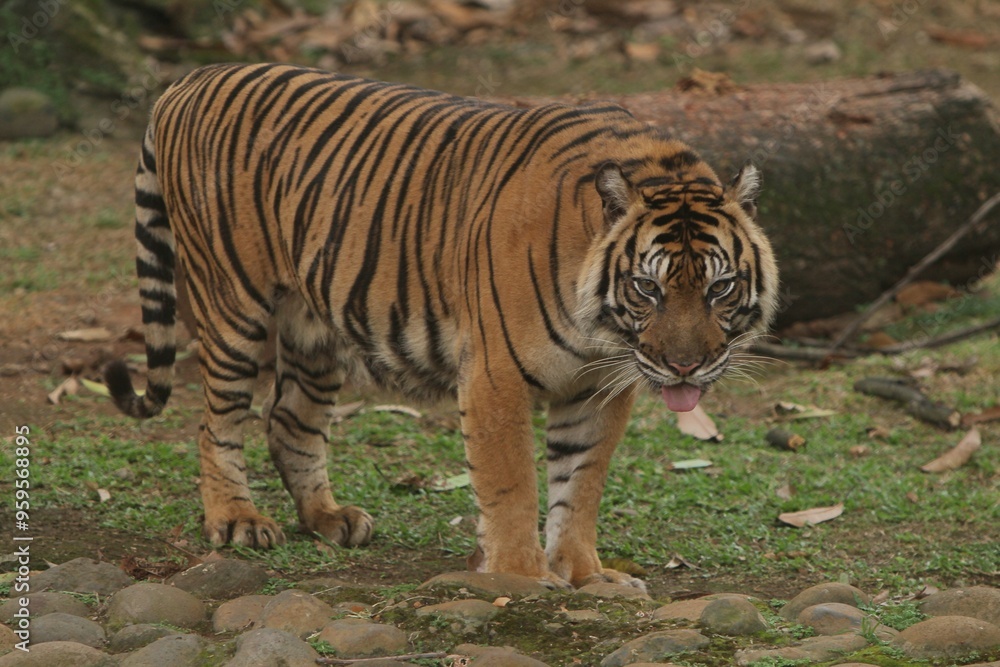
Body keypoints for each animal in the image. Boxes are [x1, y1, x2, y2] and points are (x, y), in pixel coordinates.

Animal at [105, 62, 778, 590]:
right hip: (231, 304)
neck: (601, 330)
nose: (684, 366)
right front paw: (522, 576)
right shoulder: (497, 376)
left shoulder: (597, 387)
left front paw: (586, 574)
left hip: (313, 324)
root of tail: (190, 79)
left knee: (289, 420)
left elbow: (580, 483)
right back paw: (237, 520)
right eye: (647, 288)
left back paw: (328, 518)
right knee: (215, 422)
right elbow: (511, 484)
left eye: (720, 288)